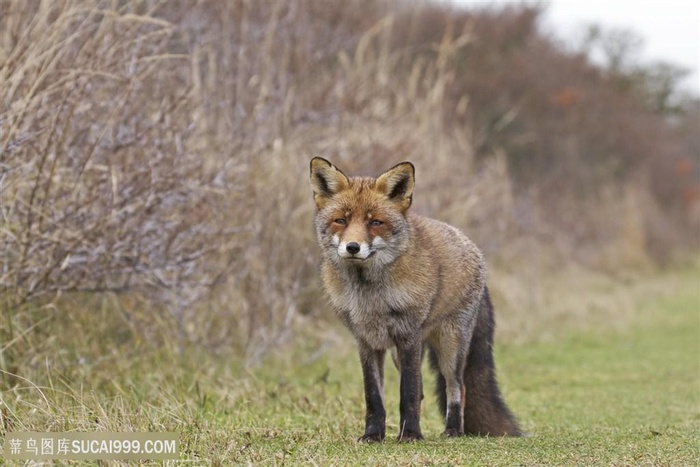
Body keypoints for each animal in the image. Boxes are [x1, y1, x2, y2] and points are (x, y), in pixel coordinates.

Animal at [308, 157, 524, 442]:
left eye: (375, 223)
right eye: (340, 220)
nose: (352, 247)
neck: (370, 296)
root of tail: (474, 248)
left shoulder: (408, 335)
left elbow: (407, 393)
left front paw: (410, 434)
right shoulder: (366, 341)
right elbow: (374, 397)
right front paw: (373, 435)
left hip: (450, 346)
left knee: (457, 387)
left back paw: (453, 430)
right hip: (403, 354)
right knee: (423, 388)